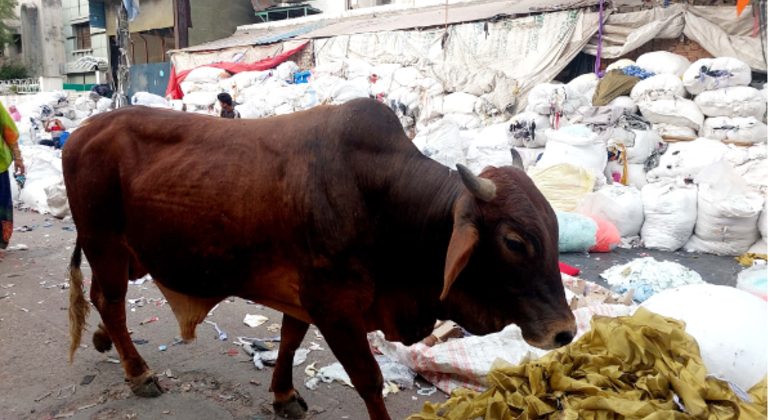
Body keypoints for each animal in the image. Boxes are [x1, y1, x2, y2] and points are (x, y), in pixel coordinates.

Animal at [64, 99, 568, 420]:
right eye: (514, 241)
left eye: (554, 226)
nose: (564, 332)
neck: (385, 200)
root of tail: (81, 133)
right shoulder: (334, 304)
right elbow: (368, 380)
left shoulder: (305, 296)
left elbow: (289, 340)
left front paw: (284, 395)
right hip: (105, 243)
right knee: (111, 302)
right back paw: (139, 373)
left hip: (124, 253)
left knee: (101, 298)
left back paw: (104, 343)